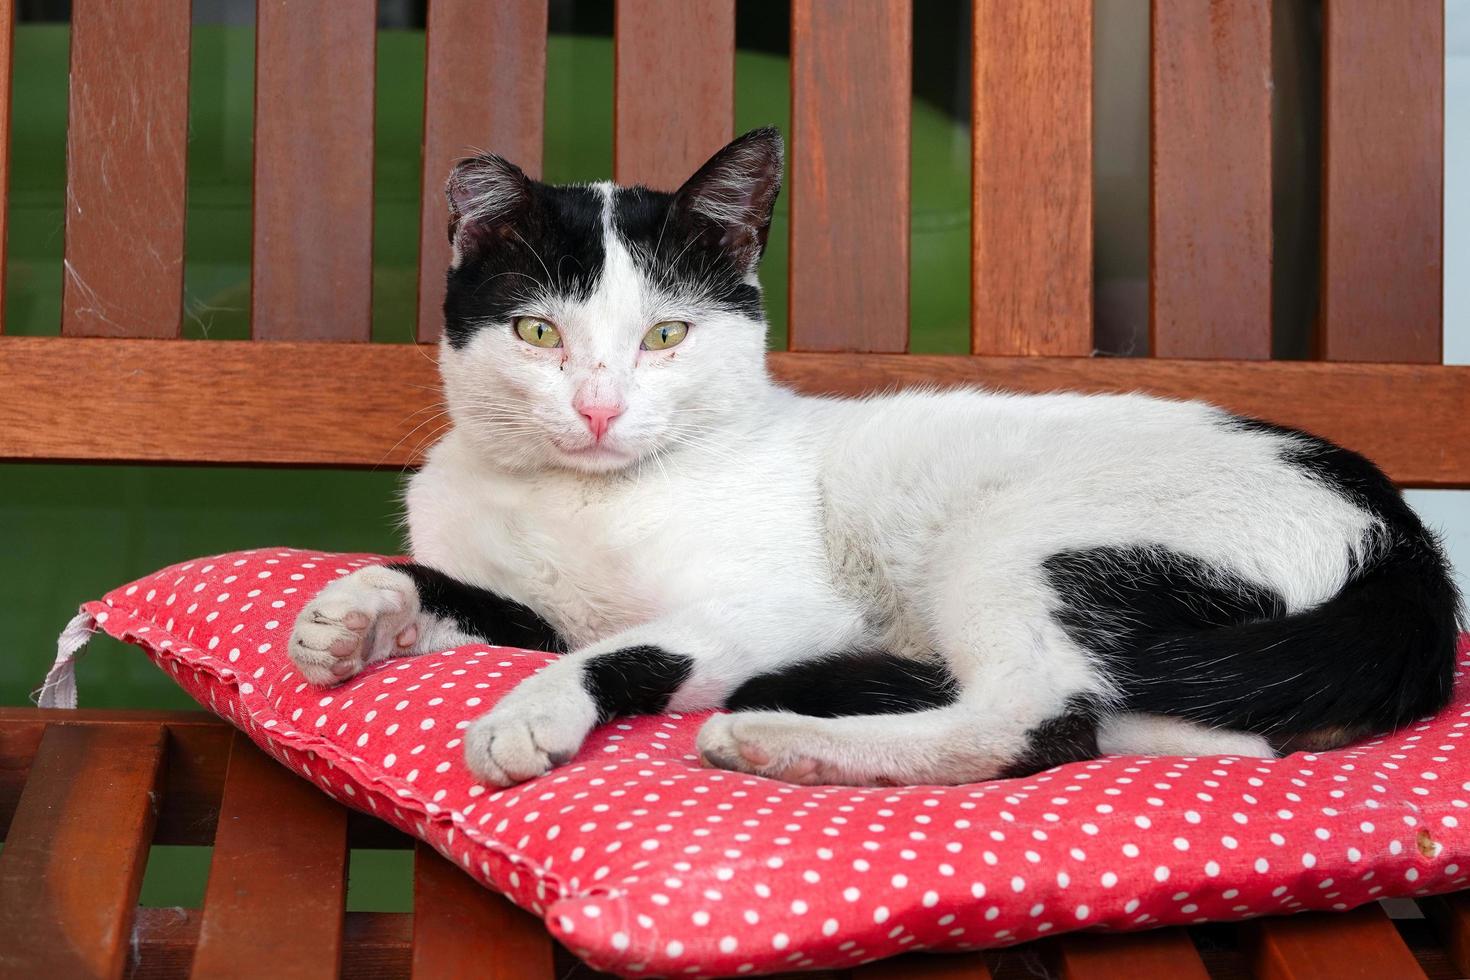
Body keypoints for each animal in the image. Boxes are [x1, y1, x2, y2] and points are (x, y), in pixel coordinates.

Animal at [283, 128, 1458, 787]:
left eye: (665, 334)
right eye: (537, 332)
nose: (601, 408)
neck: (577, 500)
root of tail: (1398, 533)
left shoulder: (785, 606)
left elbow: (624, 648)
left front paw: (528, 710)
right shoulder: (524, 603)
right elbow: (469, 595)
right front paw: (356, 614)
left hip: (1017, 539)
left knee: (1039, 718)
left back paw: (779, 737)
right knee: (1186, 735)